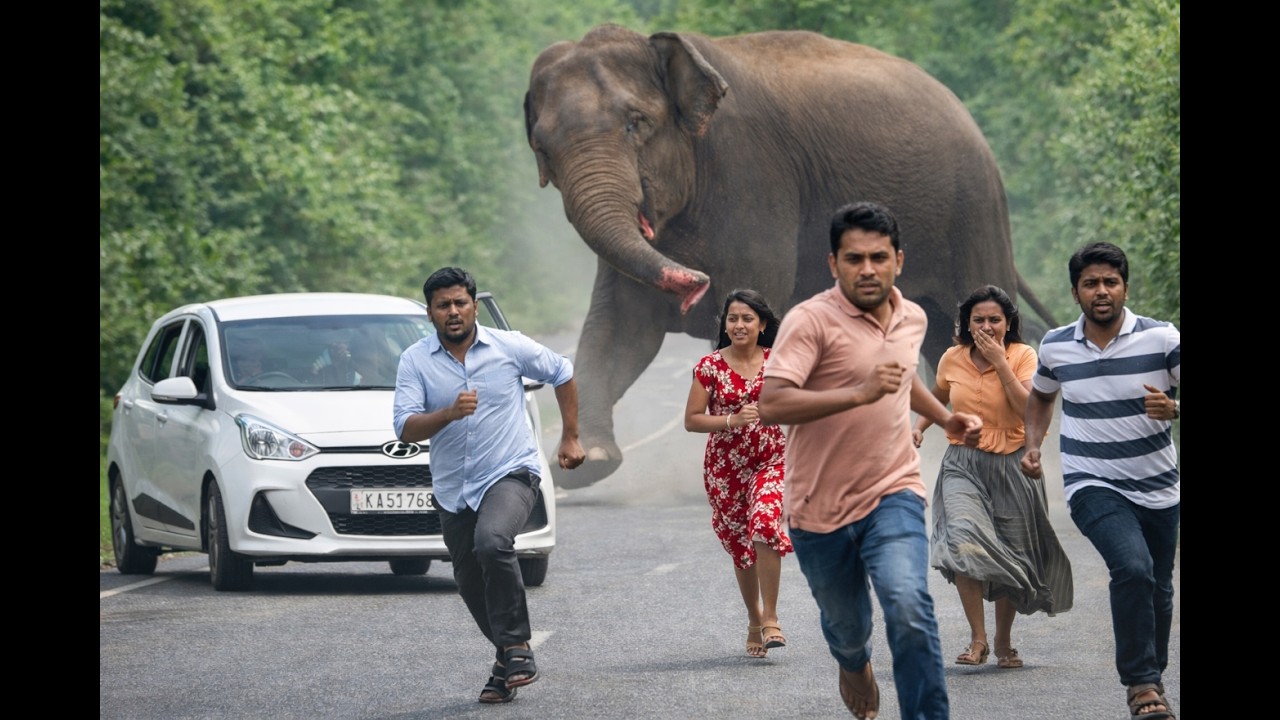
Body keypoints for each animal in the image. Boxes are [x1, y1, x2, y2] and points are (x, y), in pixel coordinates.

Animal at [524, 24, 1055, 489]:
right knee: (944, 336)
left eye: (636, 124)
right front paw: (587, 463)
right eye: (542, 147)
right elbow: (621, 326)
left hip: (975, 211)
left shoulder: (752, 176)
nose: (693, 283)